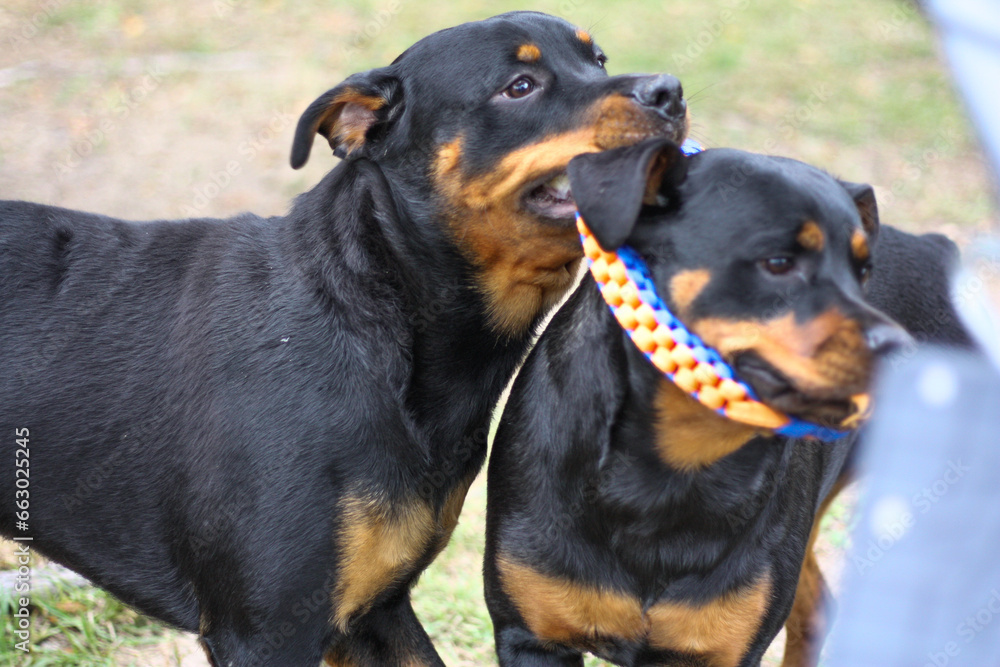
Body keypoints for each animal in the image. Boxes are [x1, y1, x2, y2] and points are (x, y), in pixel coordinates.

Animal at [0, 11, 688, 667]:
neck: (384, 317)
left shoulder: (370, 609)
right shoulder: (266, 629)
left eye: (598, 60)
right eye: (520, 86)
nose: (671, 91)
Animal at [484, 140, 968, 667]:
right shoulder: (531, 637)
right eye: (778, 263)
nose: (906, 352)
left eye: (864, 273)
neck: (673, 467)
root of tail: (937, 246)